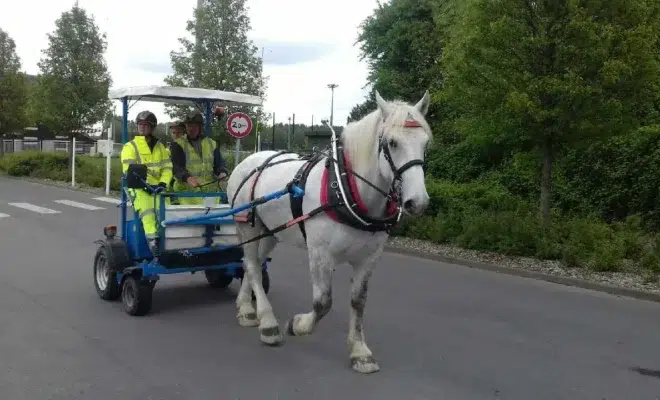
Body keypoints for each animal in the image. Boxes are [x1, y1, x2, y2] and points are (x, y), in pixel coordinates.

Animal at [227, 90, 434, 372]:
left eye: (425, 143)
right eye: (392, 143)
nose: (417, 202)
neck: (347, 188)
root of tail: (248, 161)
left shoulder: (369, 258)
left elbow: (358, 302)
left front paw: (359, 351)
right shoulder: (320, 254)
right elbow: (323, 302)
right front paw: (299, 324)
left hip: (271, 231)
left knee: (254, 264)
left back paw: (246, 308)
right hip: (248, 226)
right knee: (251, 264)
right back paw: (268, 323)